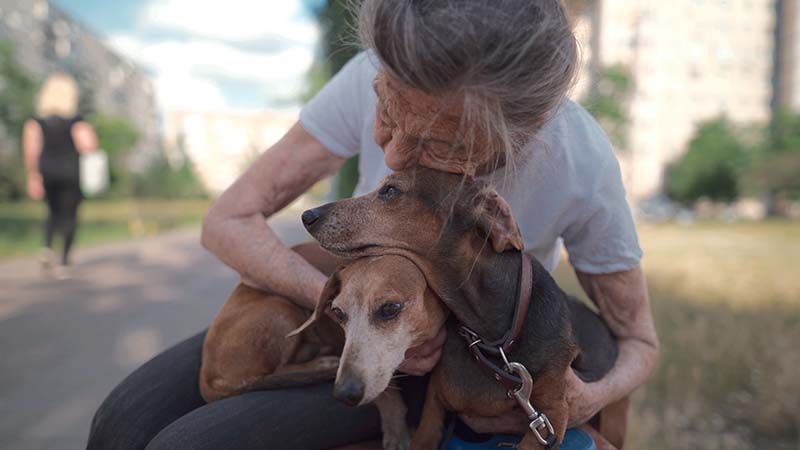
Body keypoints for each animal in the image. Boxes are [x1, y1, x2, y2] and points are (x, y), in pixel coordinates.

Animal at [198, 246, 444, 450]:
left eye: (390, 308)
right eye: (337, 313)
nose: (344, 393)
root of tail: (206, 374)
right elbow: (385, 392)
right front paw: (396, 429)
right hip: (281, 308)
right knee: (275, 370)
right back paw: (320, 363)